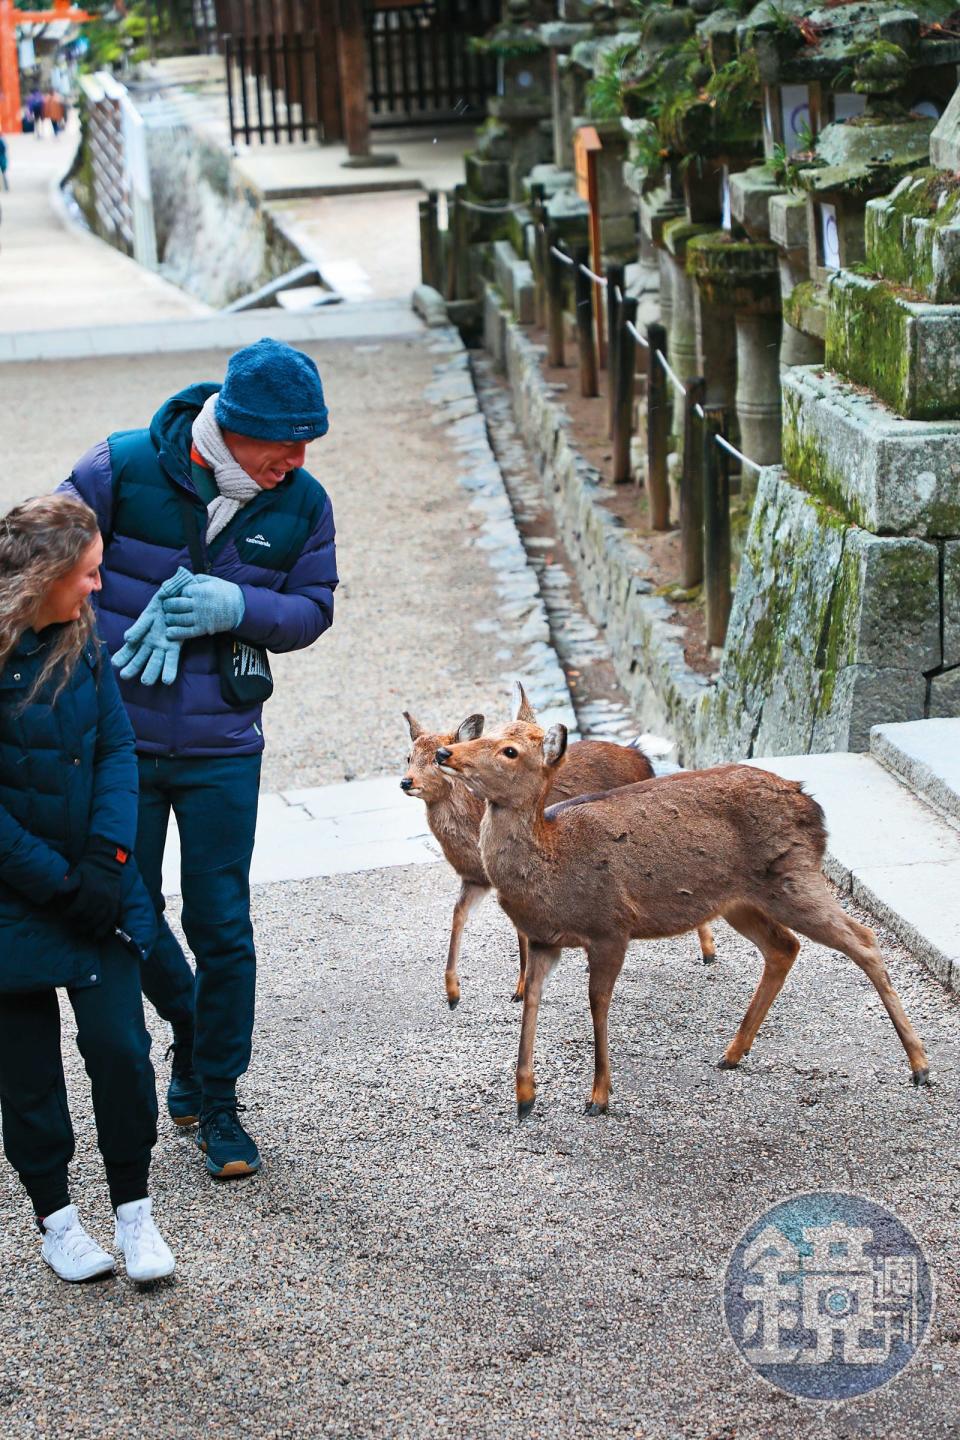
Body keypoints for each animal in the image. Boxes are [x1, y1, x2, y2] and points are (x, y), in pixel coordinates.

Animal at [397, 682, 713, 1002]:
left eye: (433, 760)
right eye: (408, 757)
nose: (406, 782)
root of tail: (640, 754)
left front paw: (519, 990)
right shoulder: (475, 878)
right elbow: (458, 915)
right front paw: (453, 993)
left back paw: (707, 953)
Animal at [437, 714, 932, 1117]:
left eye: (510, 750)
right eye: (488, 734)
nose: (445, 752)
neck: (553, 865)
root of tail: (813, 807)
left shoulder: (611, 927)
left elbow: (597, 1003)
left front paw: (598, 1097)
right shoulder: (544, 939)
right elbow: (532, 1001)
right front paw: (525, 1098)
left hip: (795, 877)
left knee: (863, 938)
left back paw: (920, 1066)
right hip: (739, 901)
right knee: (785, 946)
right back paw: (732, 1052)